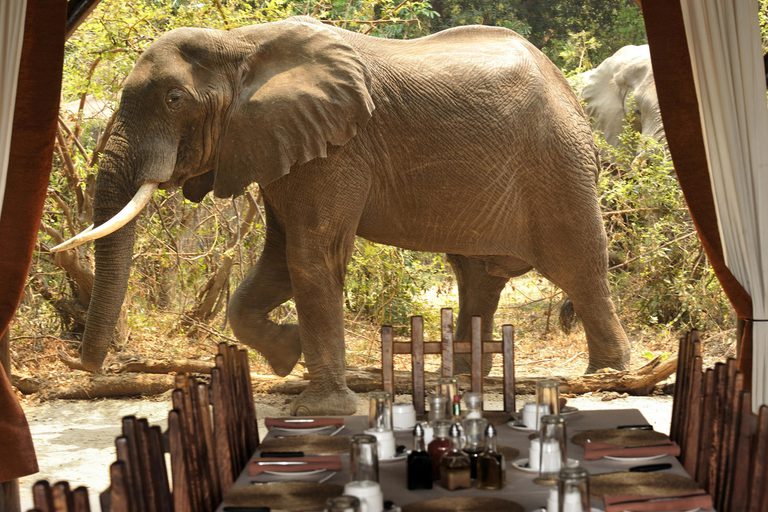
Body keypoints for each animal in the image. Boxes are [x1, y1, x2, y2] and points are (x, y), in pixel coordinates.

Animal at [52, 16, 631, 415]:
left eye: (175, 99)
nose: (79, 364)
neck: (240, 45)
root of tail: (563, 84)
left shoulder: (337, 147)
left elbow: (311, 254)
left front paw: (322, 406)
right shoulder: (285, 143)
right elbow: (279, 259)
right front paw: (287, 356)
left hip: (558, 164)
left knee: (579, 265)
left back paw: (606, 378)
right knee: (477, 275)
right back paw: (462, 379)